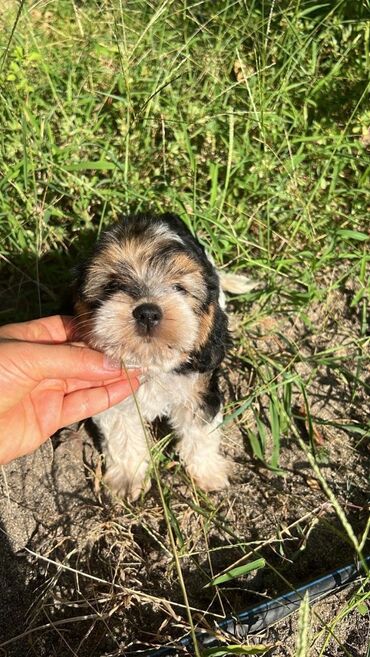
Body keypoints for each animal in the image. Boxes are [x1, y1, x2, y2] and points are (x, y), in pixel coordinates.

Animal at [74, 213, 240, 500]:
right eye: (113, 285)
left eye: (179, 288)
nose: (148, 312)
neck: (151, 364)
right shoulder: (117, 402)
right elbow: (123, 436)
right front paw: (127, 479)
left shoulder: (198, 390)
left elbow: (200, 433)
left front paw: (208, 473)